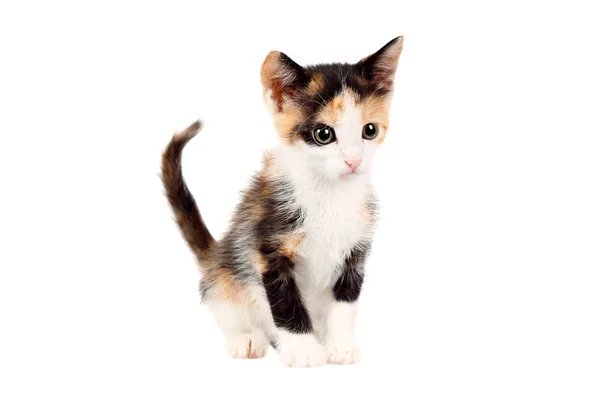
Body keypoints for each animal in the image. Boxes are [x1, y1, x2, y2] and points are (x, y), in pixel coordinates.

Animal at [162, 36, 404, 366]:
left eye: (370, 130)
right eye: (324, 134)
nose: (354, 161)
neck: (329, 194)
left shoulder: (356, 248)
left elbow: (346, 301)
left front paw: (340, 347)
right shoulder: (267, 246)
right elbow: (285, 303)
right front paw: (303, 350)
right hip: (226, 273)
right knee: (226, 304)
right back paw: (247, 338)